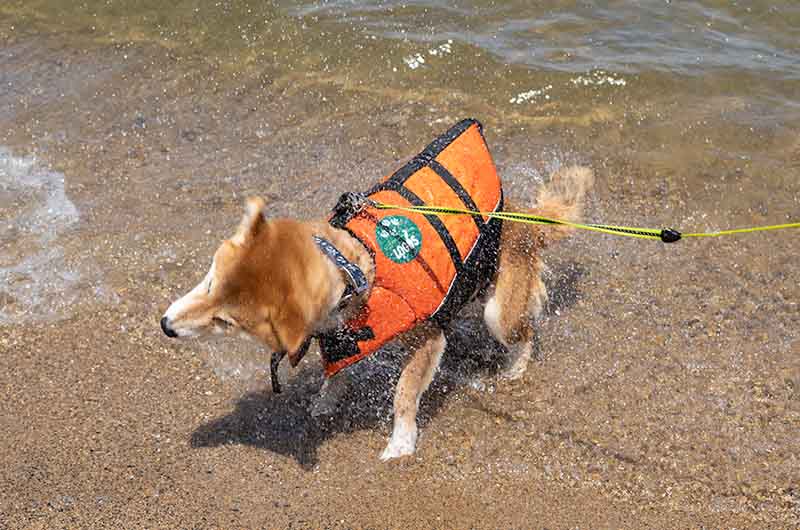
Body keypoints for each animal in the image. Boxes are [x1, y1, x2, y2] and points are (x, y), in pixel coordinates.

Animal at [159, 119, 592, 458]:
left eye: (225, 322)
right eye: (209, 280)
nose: (165, 325)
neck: (353, 265)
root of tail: (522, 218)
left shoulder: (427, 339)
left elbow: (403, 394)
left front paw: (400, 443)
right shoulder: (335, 337)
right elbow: (335, 373)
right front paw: (323, 404)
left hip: (499, 313)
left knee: (525, 331)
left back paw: (515, 367)